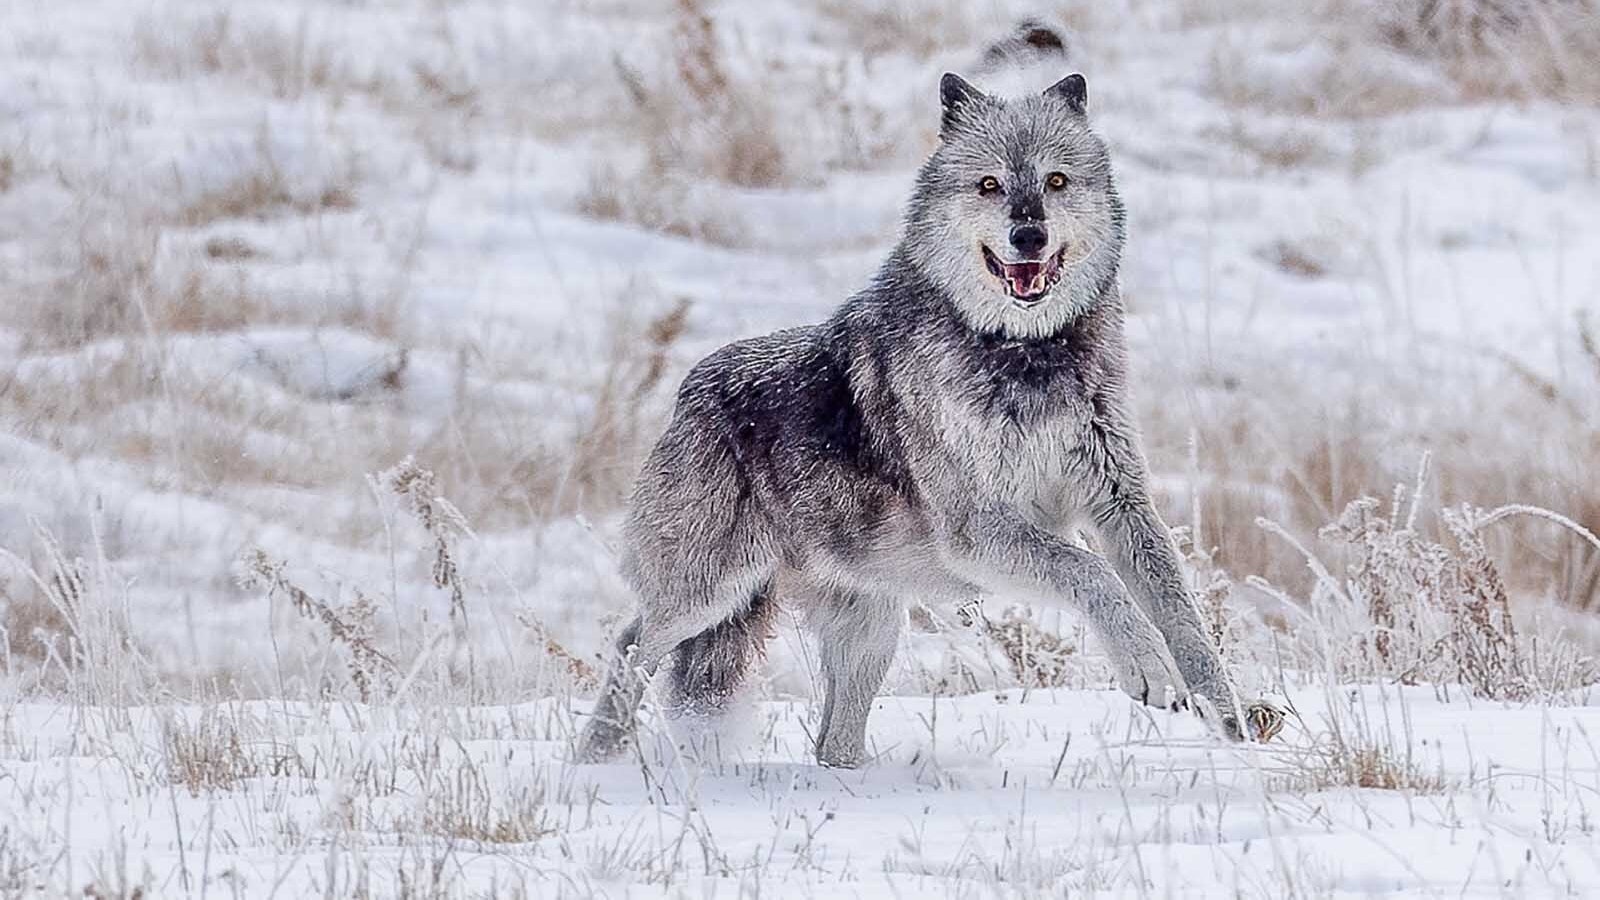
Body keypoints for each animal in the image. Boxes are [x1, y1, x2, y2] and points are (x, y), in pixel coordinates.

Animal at [576, 72, 1283, 768]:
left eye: (1055, 182)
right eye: (990, 185)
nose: (1029, 236)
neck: (1025, 354)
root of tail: (687, 390)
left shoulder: (1121, 504)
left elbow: (1184, 615)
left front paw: (1229, 717)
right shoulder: (979, 530)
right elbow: (1092, 572)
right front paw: (1148, 670)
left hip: (868, 634)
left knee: (831, 744)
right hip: (707, 596)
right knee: (631, 643)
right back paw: (596, 760)